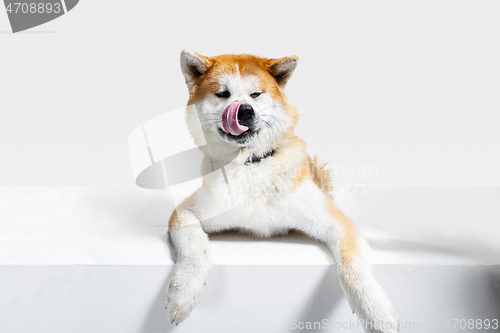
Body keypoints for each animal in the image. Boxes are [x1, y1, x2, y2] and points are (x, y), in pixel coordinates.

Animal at [166, 50, 400, 332]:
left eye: (256, 94)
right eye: (223, 94)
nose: (245, 111)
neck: (251, 164)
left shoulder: (339, 224)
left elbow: (352, 267)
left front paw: (377, 314)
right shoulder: (184, 213)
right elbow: (195, 248)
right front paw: (182, 294)